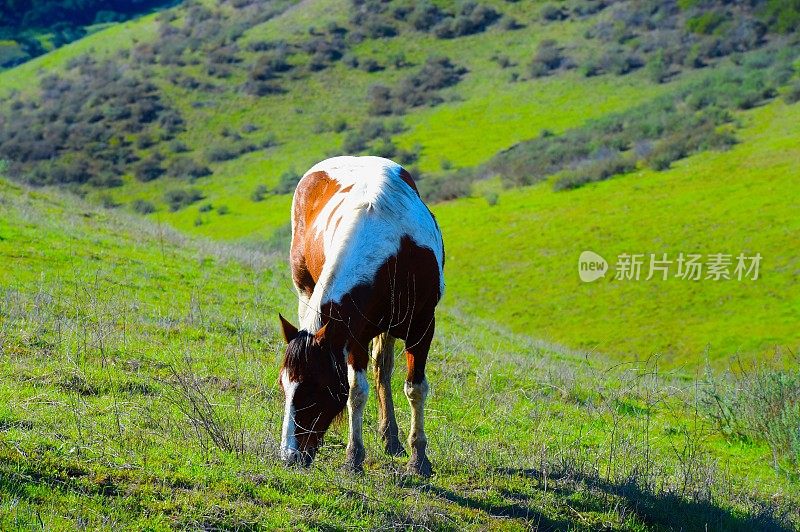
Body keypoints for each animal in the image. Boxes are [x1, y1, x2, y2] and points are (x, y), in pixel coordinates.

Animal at [278, 156, 444, 476]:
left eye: (314, 388)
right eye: (284, 386)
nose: (288, 457)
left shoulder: (422, 326)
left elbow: (415, 388)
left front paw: (419, 459)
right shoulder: (353, 334)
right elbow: (356, 391)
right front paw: (353, 457)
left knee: (383, 369)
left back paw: (392, 439)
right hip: (306, 294)